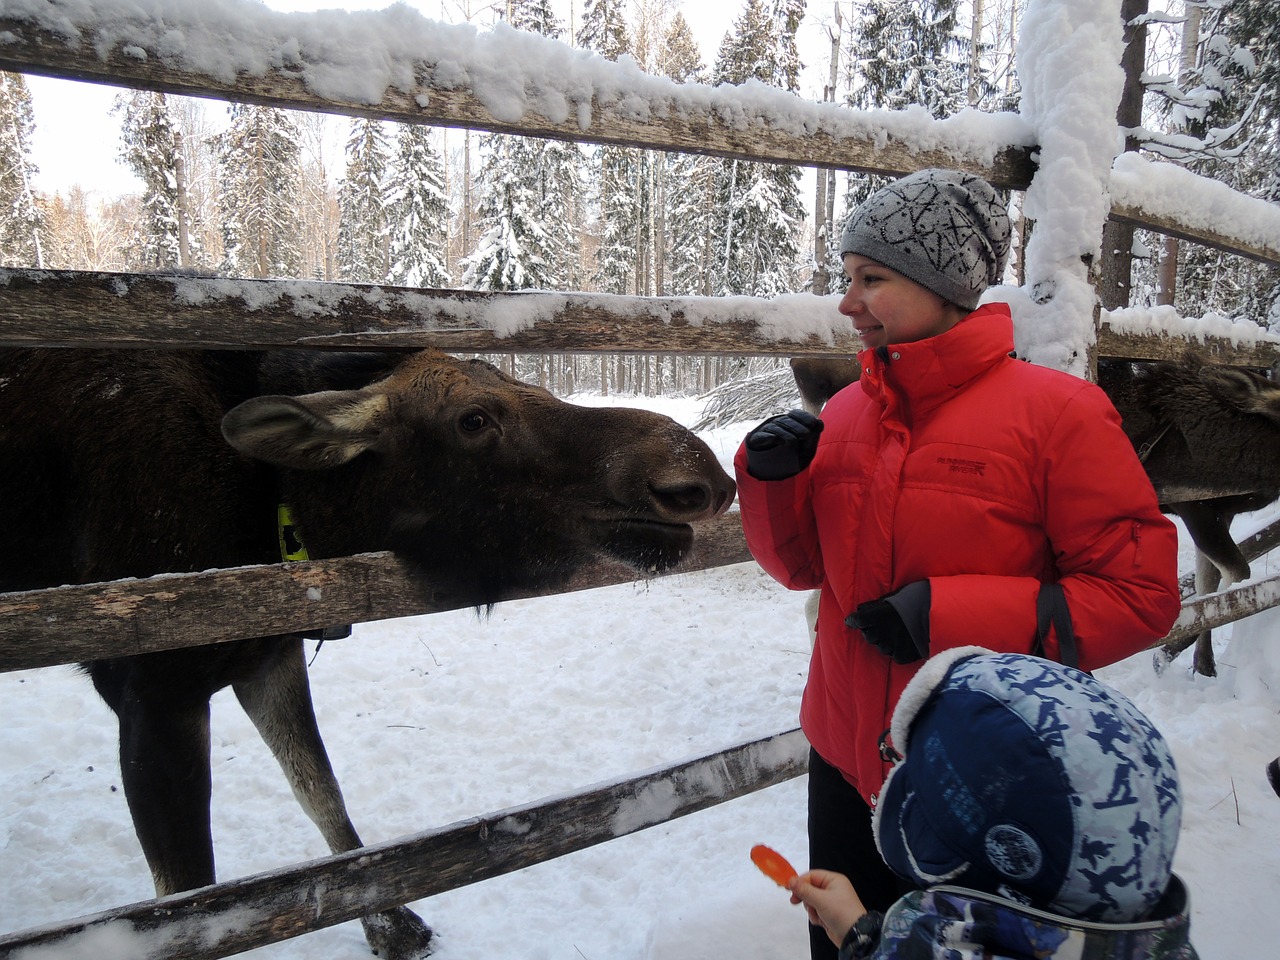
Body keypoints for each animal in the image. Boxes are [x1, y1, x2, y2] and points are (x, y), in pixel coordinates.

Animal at [0, 348, 732, 960]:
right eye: (473, 419)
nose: (696, 475)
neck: (274, 510)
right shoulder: (154, 692)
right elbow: (188, 900)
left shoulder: (267, 656)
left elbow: (321, 793)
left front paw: (392, 923)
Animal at [788, 350, 1280, 675]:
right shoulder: (1197, 508)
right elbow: (1234, 578)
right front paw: (1171, 651)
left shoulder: (1214, 511)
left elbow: (1213, 585)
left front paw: (1201, 662)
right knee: (816, 599)